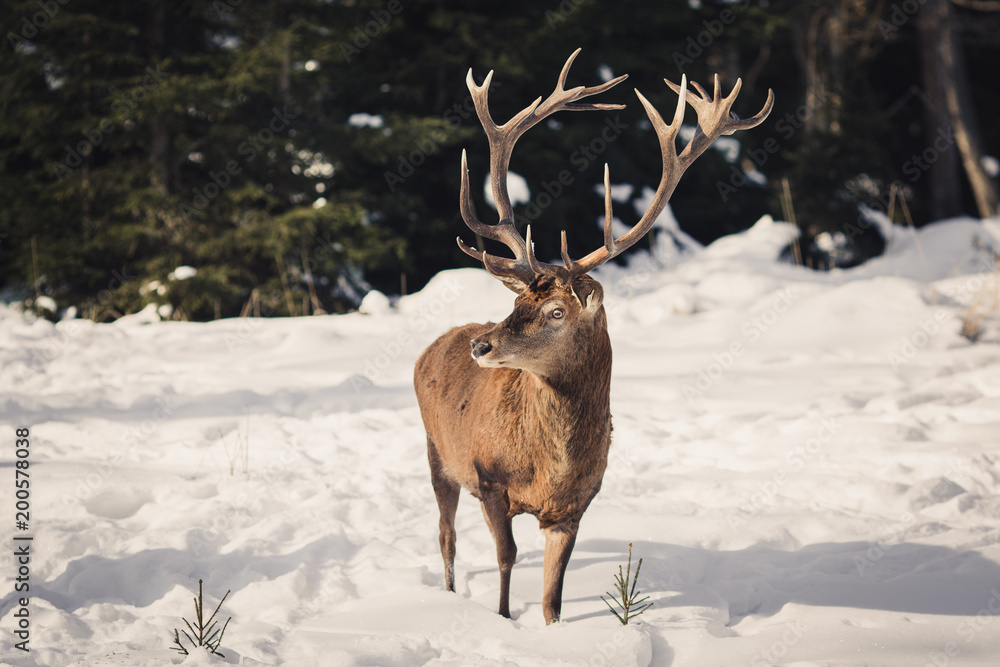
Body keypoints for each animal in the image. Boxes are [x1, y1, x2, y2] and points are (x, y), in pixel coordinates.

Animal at [414, 48, 772, 628]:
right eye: (517, 303)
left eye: (556, 311)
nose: (482, 346)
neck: (551, 470)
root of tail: (435, 344)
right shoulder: (489, 479)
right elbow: (506, 561)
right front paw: (500, 620)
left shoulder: (575, 508)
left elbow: (553, 596)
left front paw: (553, 630)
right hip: (436, 451)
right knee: (445, 536)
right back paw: (446, 596)